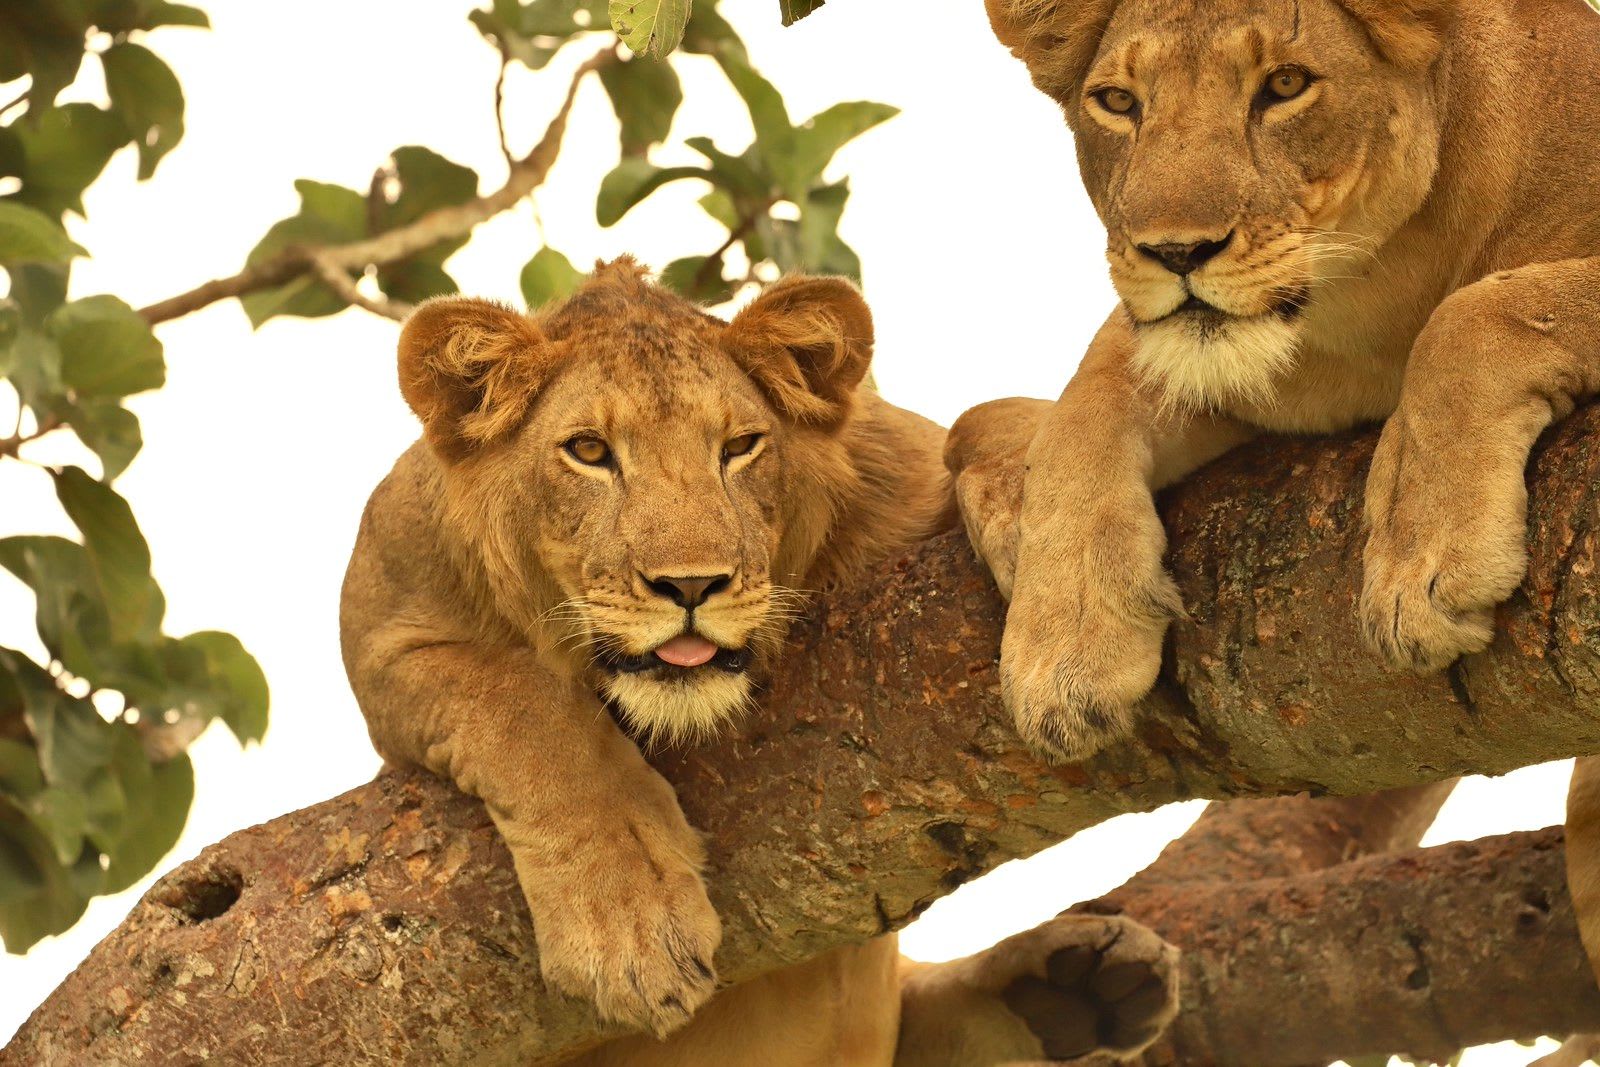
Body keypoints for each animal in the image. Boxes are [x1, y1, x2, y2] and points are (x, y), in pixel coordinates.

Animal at [340, 260, 1178, 1066]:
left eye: (739, 447)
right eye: (589, 452)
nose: (690, 585)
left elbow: (999, 416)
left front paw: (1072, 616)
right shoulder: (380, 642)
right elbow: (517, 702)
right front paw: (633, 923)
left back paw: (1077, 989)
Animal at [945, 0, 1600, 765]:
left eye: (1285, 84)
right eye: (1118, 102)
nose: (1178, 252)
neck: (1370, 300)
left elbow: (1475, 313)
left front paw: (1423, 560)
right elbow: (1083, 407)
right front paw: (1065, 652)